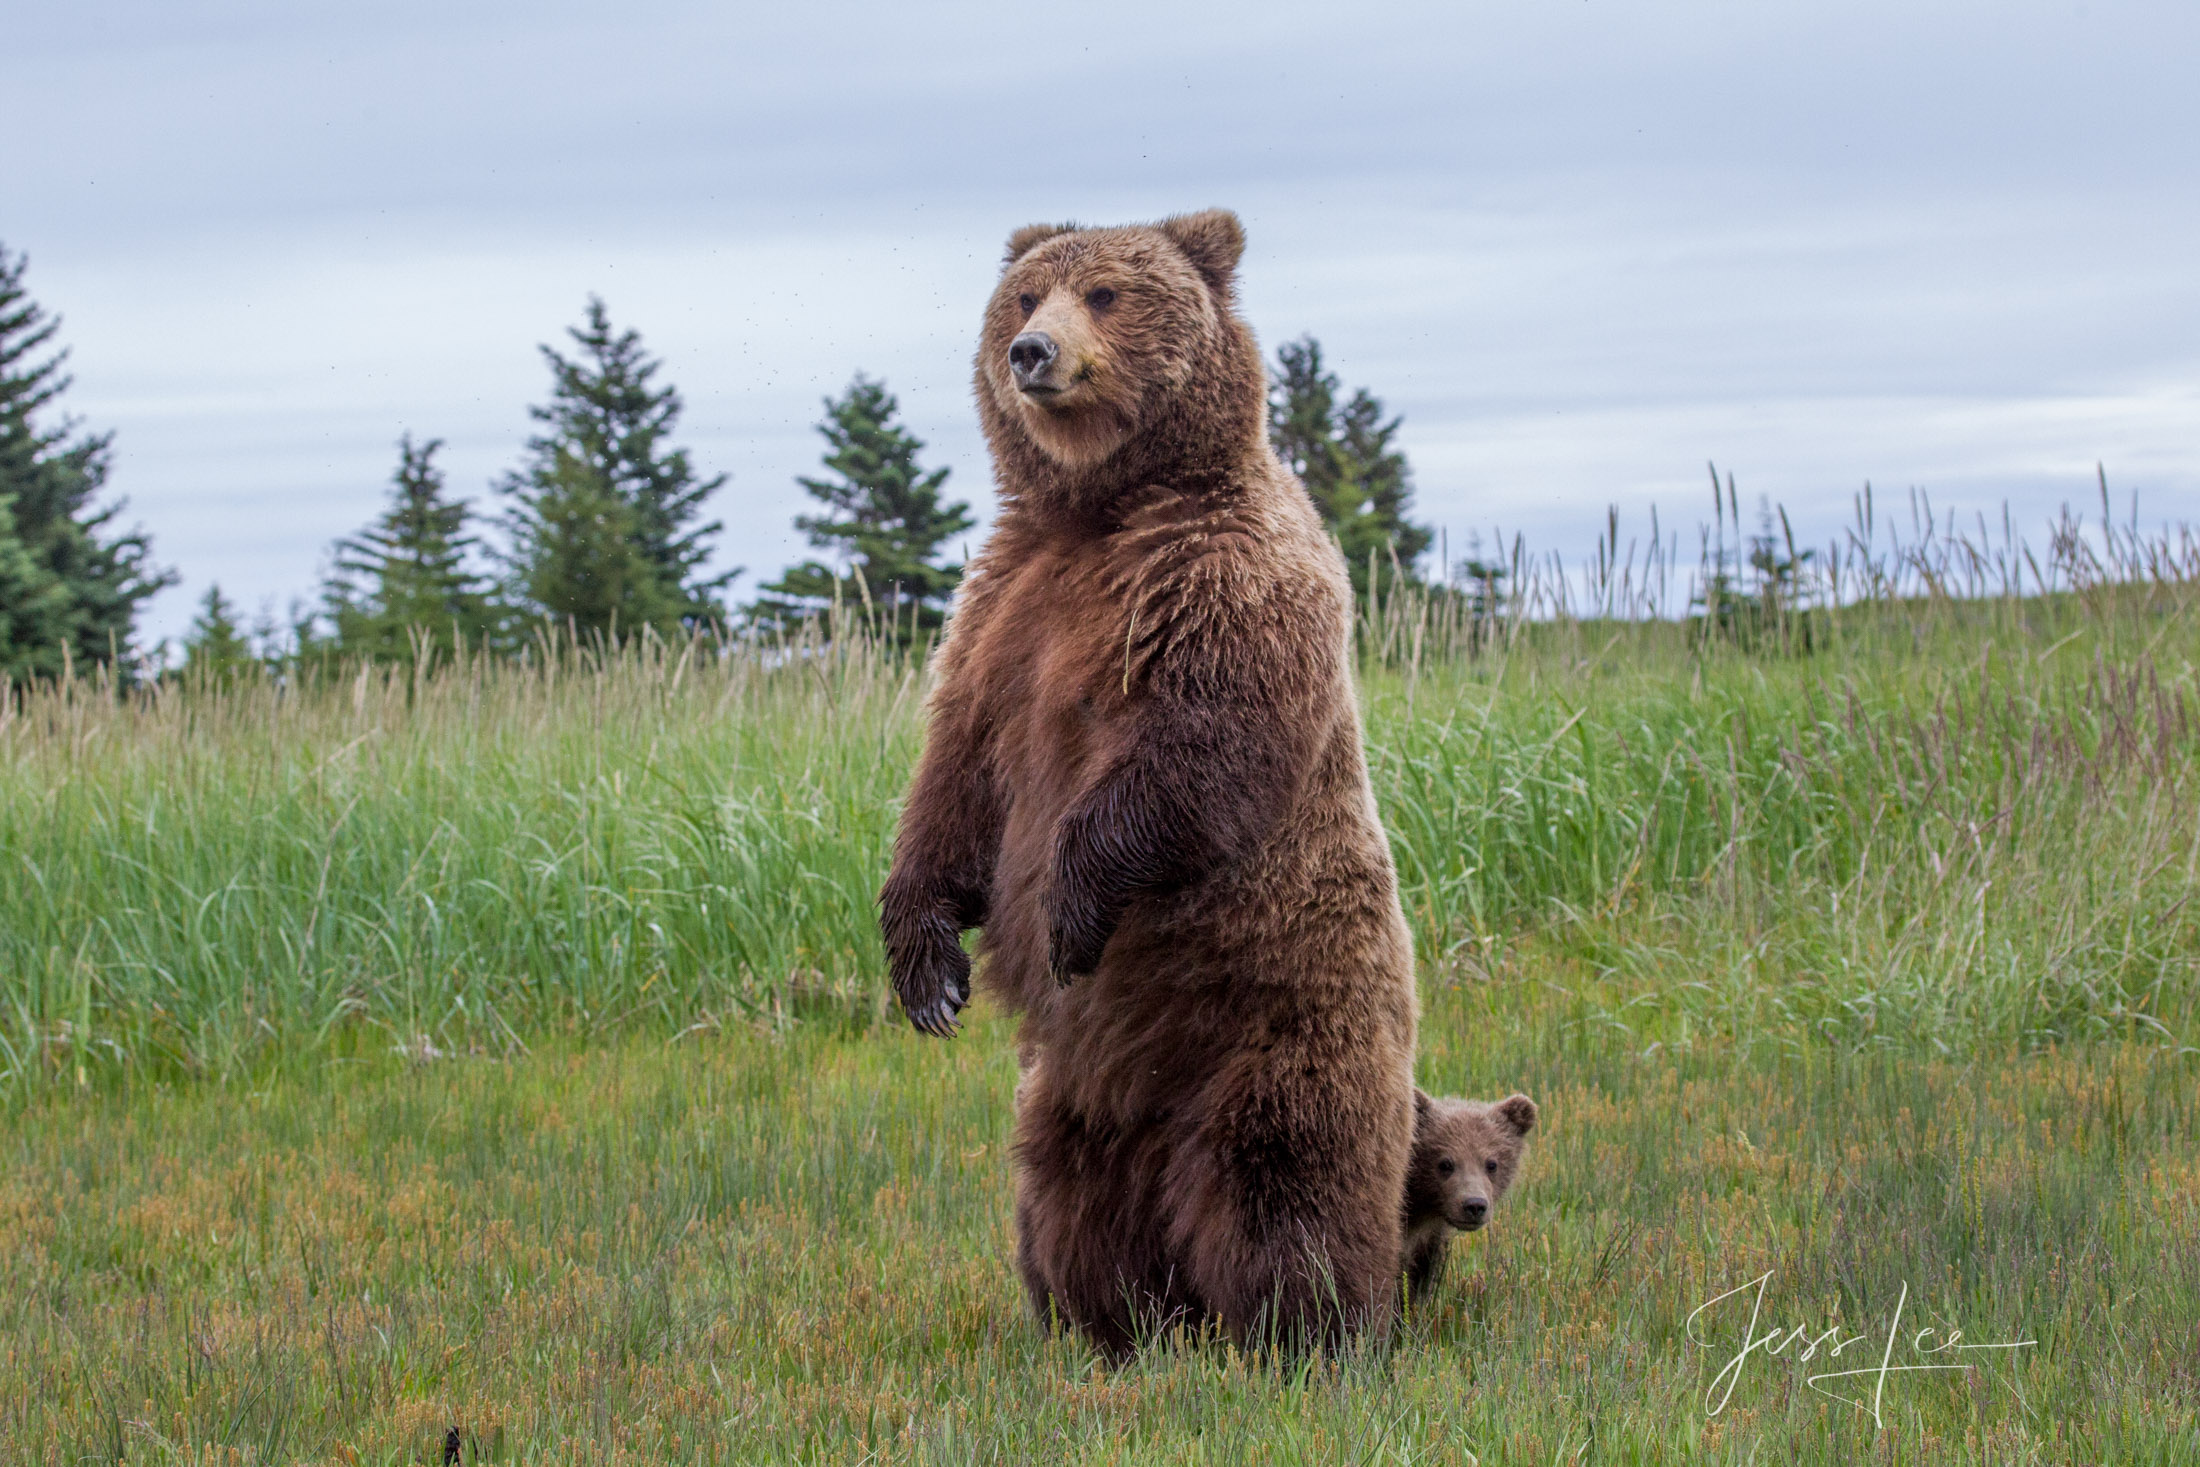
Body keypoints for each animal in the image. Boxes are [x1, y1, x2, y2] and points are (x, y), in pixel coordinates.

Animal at [880, 206, 1425, 1354]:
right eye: (1024, 293)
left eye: (1105, 293)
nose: (1029, 353)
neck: (1101, 510)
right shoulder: (1003, 610)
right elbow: (953, 777)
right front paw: (928, 971)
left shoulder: (1221, 577)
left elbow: (1195, 750)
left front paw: (1068, 912)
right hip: (1071, 1091)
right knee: (1071, 1192)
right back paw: (1106, 1324)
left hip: (1281, 1016)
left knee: (1287, 1174)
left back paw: (1308, 1331)